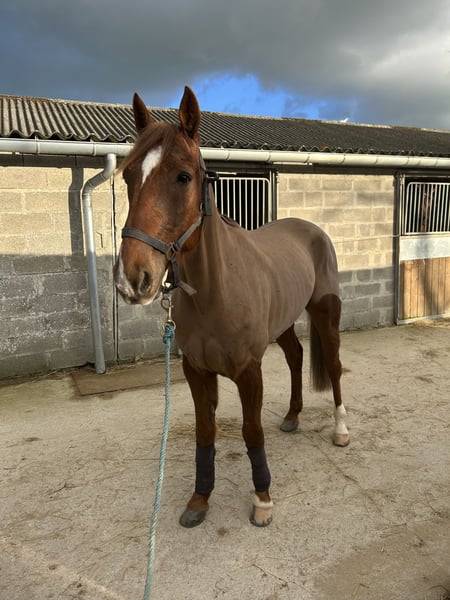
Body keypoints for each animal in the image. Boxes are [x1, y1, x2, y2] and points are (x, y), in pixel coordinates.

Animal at [113, 86, 350, 528]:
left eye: (183, 176)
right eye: (128, 175)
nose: (132, 279)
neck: (214, 293)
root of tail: (312, 229)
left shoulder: (248, 372)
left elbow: (251, 431)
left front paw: (262, 500)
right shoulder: (196, 371)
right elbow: (205, 433)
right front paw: (199, 499)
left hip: (327, 315)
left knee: (335, 366)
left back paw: (342, 430)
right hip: (284, 323)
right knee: (296, 356)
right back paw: (293, 416)